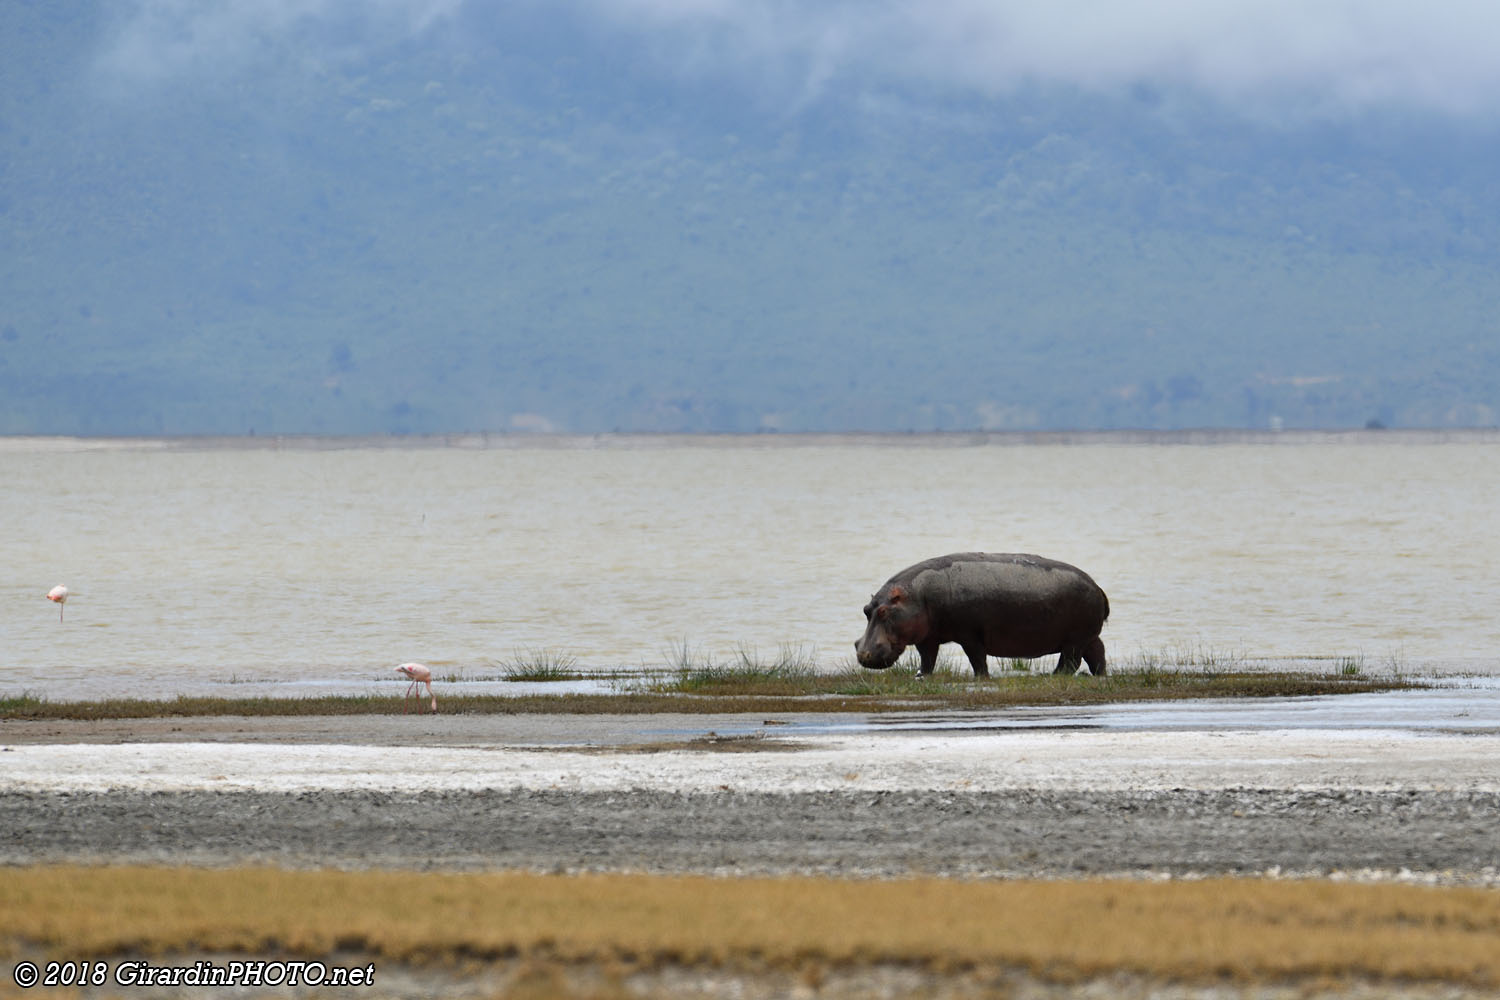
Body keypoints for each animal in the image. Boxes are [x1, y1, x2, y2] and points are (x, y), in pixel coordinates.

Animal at [854, 552, 1109, 677]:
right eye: (866, 610)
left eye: (884, 611)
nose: (864, 654)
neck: (916, 595)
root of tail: (1098, 587)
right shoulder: (927, 637)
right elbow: (927, 658)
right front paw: (920, 675)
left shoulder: (969, 635)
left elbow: (976, 657)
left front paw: (981, 678)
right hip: (1087, 637)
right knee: (1097, 654)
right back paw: (1098, 675)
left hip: (1074, 639)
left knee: (1070, 662)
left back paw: (1052, 675)